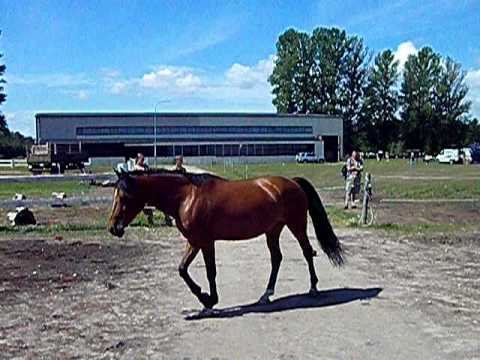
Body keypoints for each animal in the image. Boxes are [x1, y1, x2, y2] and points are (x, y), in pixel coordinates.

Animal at [107, 169, 344, 310]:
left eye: (124, 196)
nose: (112, 228)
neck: (187, 196)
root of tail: (292, 182)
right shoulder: (194, 242)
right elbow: (182, 269)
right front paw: (204, 298)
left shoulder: (205, 242)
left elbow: (210, 272)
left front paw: (209, 299)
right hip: (273, 231)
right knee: (277, 259)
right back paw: (266, 295)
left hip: (297, 225)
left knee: (307, 251)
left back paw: (313, 289)